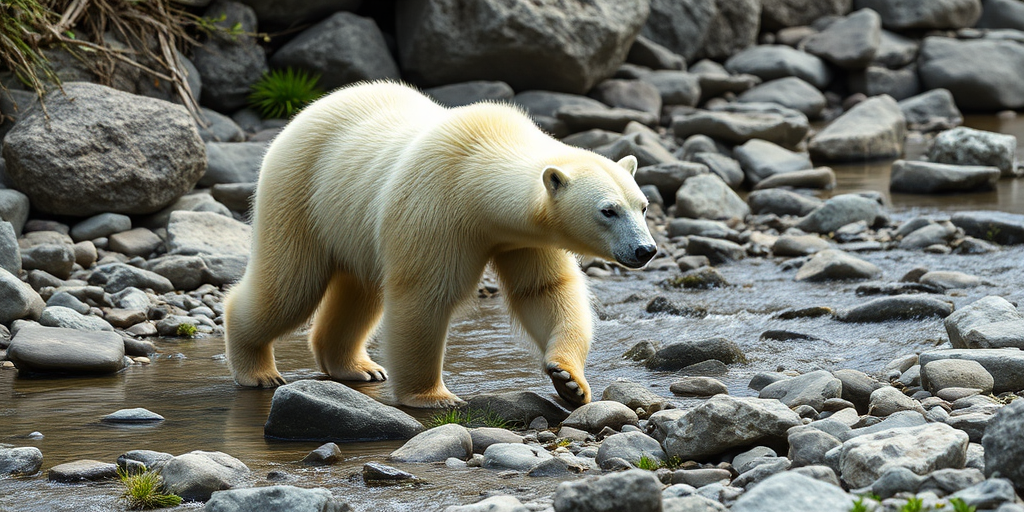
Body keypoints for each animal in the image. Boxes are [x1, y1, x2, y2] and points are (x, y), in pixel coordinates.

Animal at [224, 81, 656, 408]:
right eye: (608, 211)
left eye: (643, 206)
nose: (645, 250)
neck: (480, 173)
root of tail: (307, 110)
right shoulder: (436, 209)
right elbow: (424, 295)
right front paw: (432, 396)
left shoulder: (523, 237)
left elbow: (545, 290)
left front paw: (568, 380)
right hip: (299, 190)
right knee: (289, 286)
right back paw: (259, 371)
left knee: (359, 291)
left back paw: (359, 367)